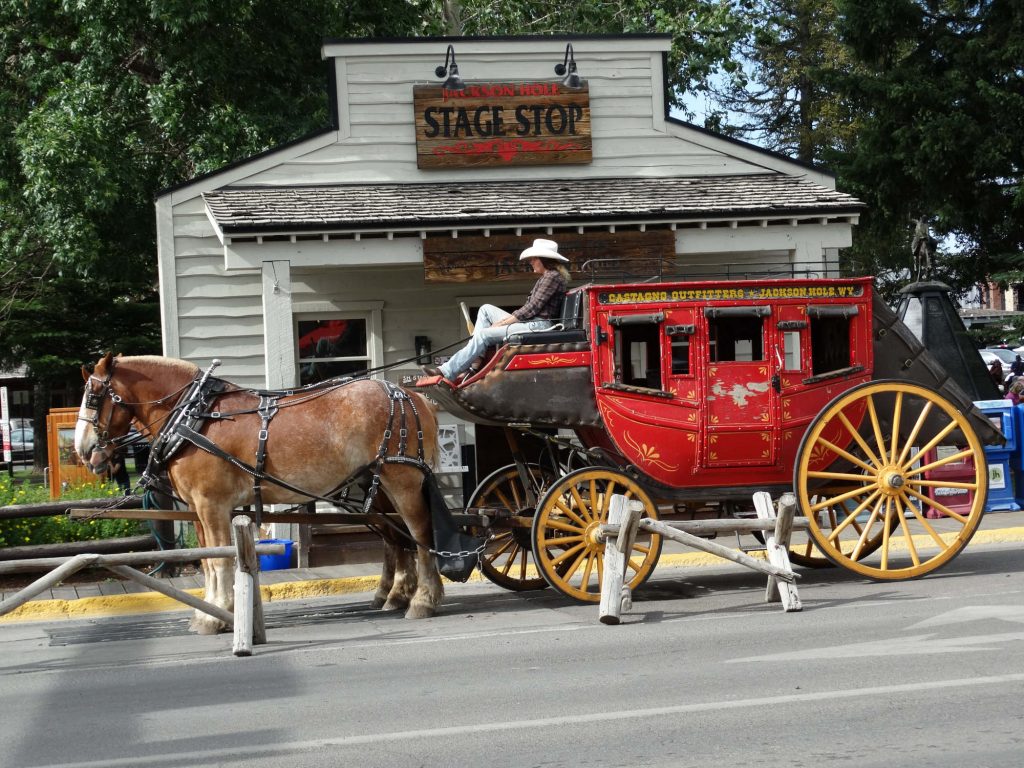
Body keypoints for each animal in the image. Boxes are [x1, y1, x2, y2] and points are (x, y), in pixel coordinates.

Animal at [72, 354, 440, 630]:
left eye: (93, 397)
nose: (83, 450)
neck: (192, 417)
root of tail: (411, 395)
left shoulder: (212, 505)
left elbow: (219, 561)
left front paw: (216, 616)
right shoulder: (197, 510)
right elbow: (208, 561)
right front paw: (213, 612)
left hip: (401, 479)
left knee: (420, 532)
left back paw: (422, 599)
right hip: (375, 486)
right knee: (397, 538)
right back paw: (397, 596)